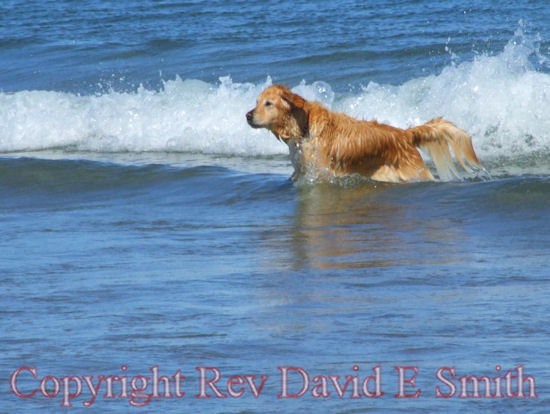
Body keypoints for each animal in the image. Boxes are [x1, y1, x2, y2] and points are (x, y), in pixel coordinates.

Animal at [248, 84, 486, 181]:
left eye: (268, 103)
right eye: (257, 102)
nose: (247, 115)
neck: (303, 129)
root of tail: (405, 134)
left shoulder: (322, 172)